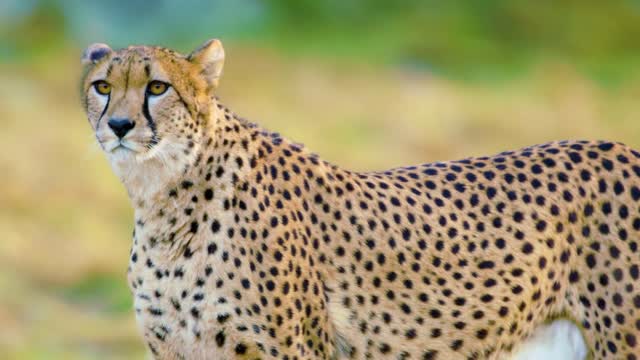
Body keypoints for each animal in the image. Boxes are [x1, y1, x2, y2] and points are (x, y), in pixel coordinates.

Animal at [81, 38, 640, 358]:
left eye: (157, 87)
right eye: (103, 86)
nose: (120, 125)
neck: (164, 197)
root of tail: (619, 147)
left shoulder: (295, 351)